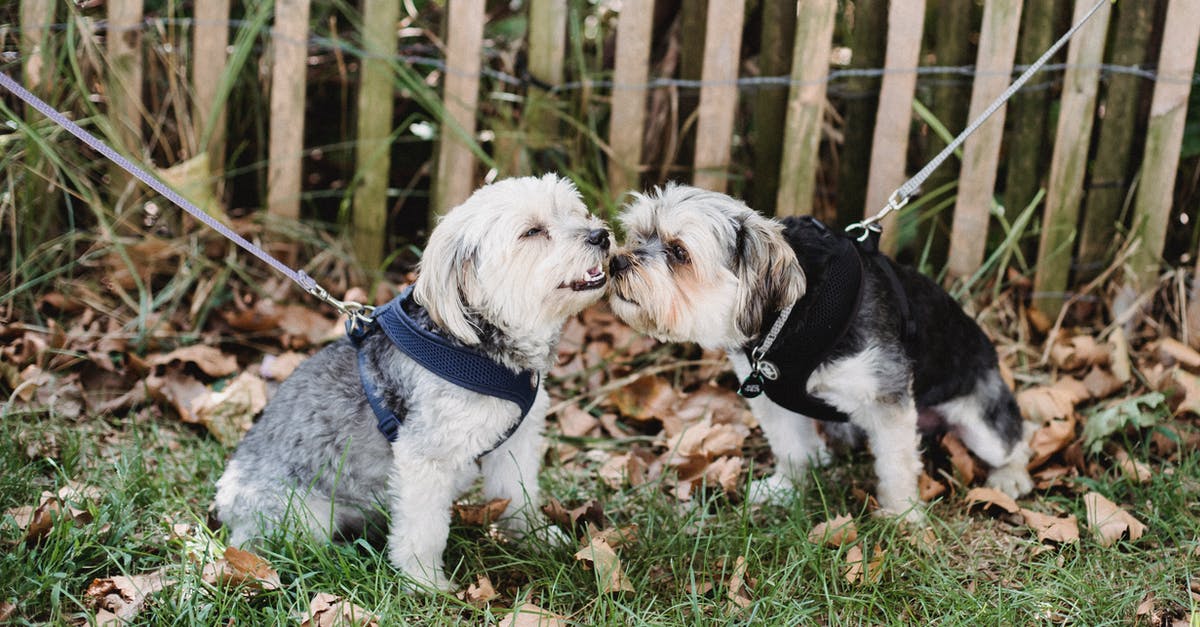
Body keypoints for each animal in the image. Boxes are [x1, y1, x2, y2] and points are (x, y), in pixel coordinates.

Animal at [211, 172, 614, 588]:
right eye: (532, 231)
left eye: (577, 212)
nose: (601, 235)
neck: (476, 346)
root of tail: (224, 506)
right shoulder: (424, 458)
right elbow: (424, 530)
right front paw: (427, 583)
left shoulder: (514, 443)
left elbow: (519, 496)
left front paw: (534, 537)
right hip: (302, 514)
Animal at [609, 182, 1032, 518]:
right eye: (638, 235)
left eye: (680, 253)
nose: (616, 262)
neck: (789, 316)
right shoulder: (771, 399)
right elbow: (791, 449)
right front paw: (786, 489)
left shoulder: (887, 395)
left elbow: (896, 464)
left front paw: (902, 518)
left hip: (981, 419)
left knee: (1015, 442)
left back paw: (1010, 478)